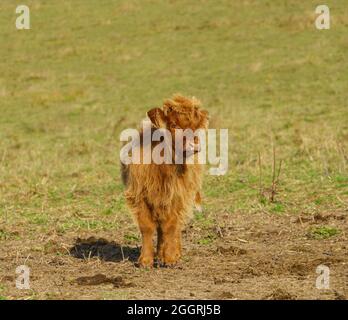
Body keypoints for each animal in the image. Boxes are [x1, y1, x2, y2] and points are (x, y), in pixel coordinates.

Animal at [122, 95, 209, 268]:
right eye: (174, 125)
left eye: (196, 126)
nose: (194, 145)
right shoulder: (139, 196)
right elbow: (147, 227)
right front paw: (145, 260)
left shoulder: (176, 197)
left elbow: (170, 226)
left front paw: (169, 258)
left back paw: (173, 253)